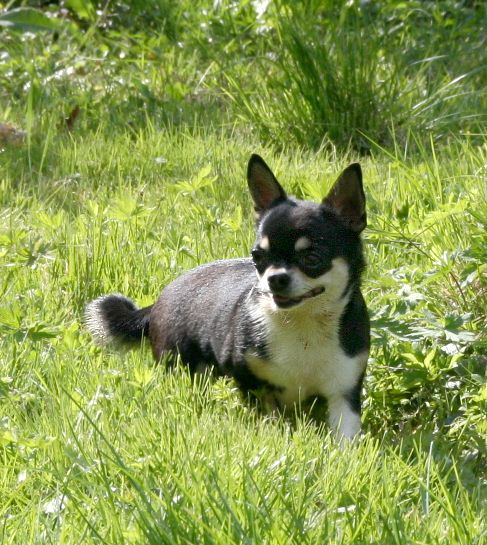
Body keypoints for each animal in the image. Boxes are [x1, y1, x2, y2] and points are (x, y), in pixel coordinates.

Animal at [86, 154, 370, 438]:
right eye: (257, 256)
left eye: (312, 258)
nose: (275, 278)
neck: (303, 324)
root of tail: (158, 301)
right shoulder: (249, 377)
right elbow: (268, 411)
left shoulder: (344, 391)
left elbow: (346, 434)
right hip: (180, 361)